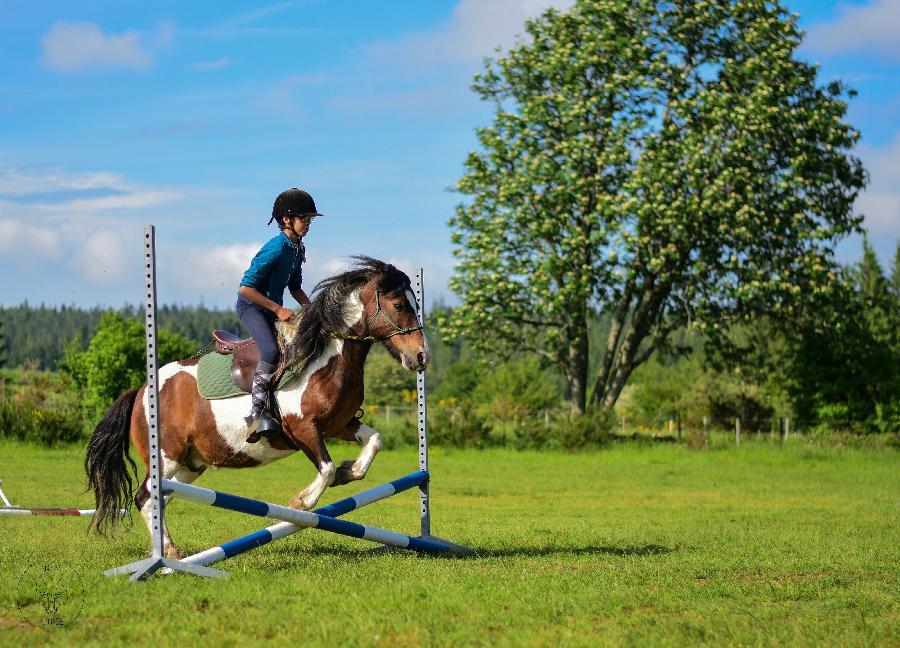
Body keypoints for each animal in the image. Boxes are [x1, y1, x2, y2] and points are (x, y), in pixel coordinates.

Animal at [86, 256, 430, 556]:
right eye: (399, 306)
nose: (421, 358)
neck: (326, 357)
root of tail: (141, 390)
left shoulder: (341, 425)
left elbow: (374, 441)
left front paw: (350, 471)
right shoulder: (303, 429)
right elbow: (326, 469)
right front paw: (301, 502)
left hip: (188, 465)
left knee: (161, 498)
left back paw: (167, 550)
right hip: (166, 456)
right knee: (145, 498)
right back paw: (168, 554)